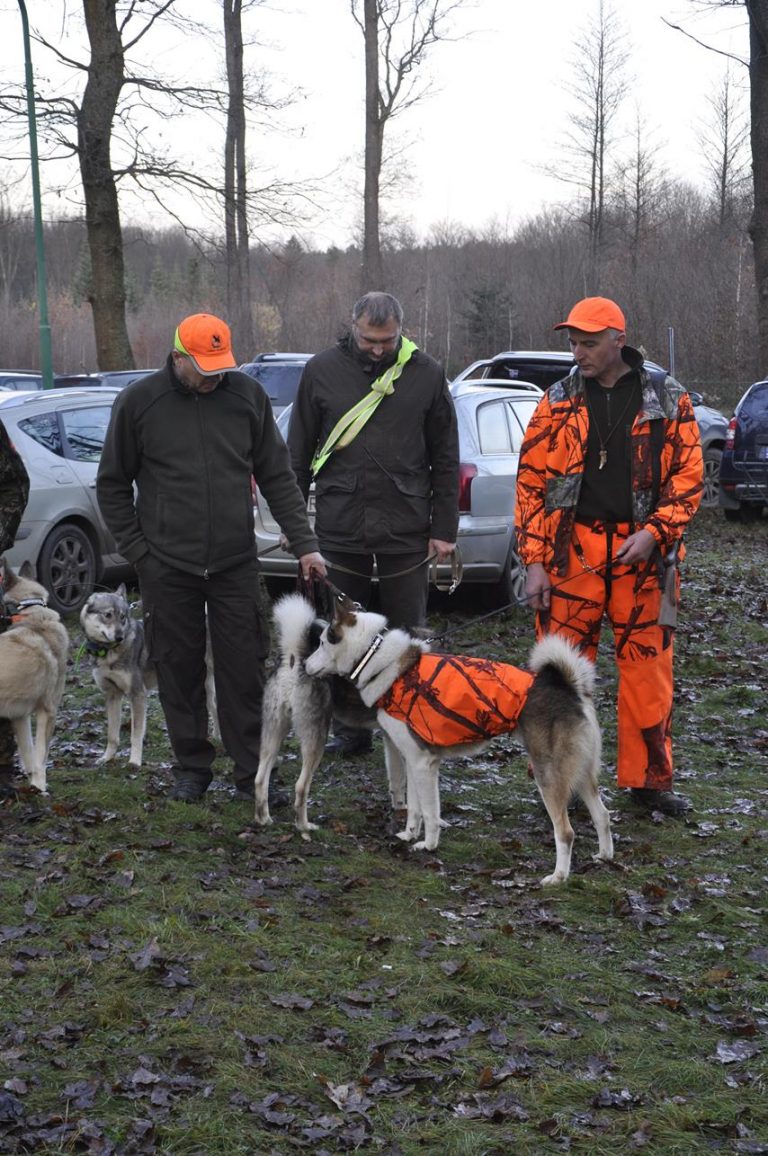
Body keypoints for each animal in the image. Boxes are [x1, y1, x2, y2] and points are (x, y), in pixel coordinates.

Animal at [305, 596, 610, 883]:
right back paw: (604, 856)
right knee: (602, 814)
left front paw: (428, 845)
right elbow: (415, 808)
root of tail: (569, 687)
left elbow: (429, 811)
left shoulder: (422, 763)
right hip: (581, 774)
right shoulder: (414, 760)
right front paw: (409, 836)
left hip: (548, 774)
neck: (379, 659)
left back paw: (558, 877)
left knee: (566, 832)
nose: (305, 665)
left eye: (321, 642)